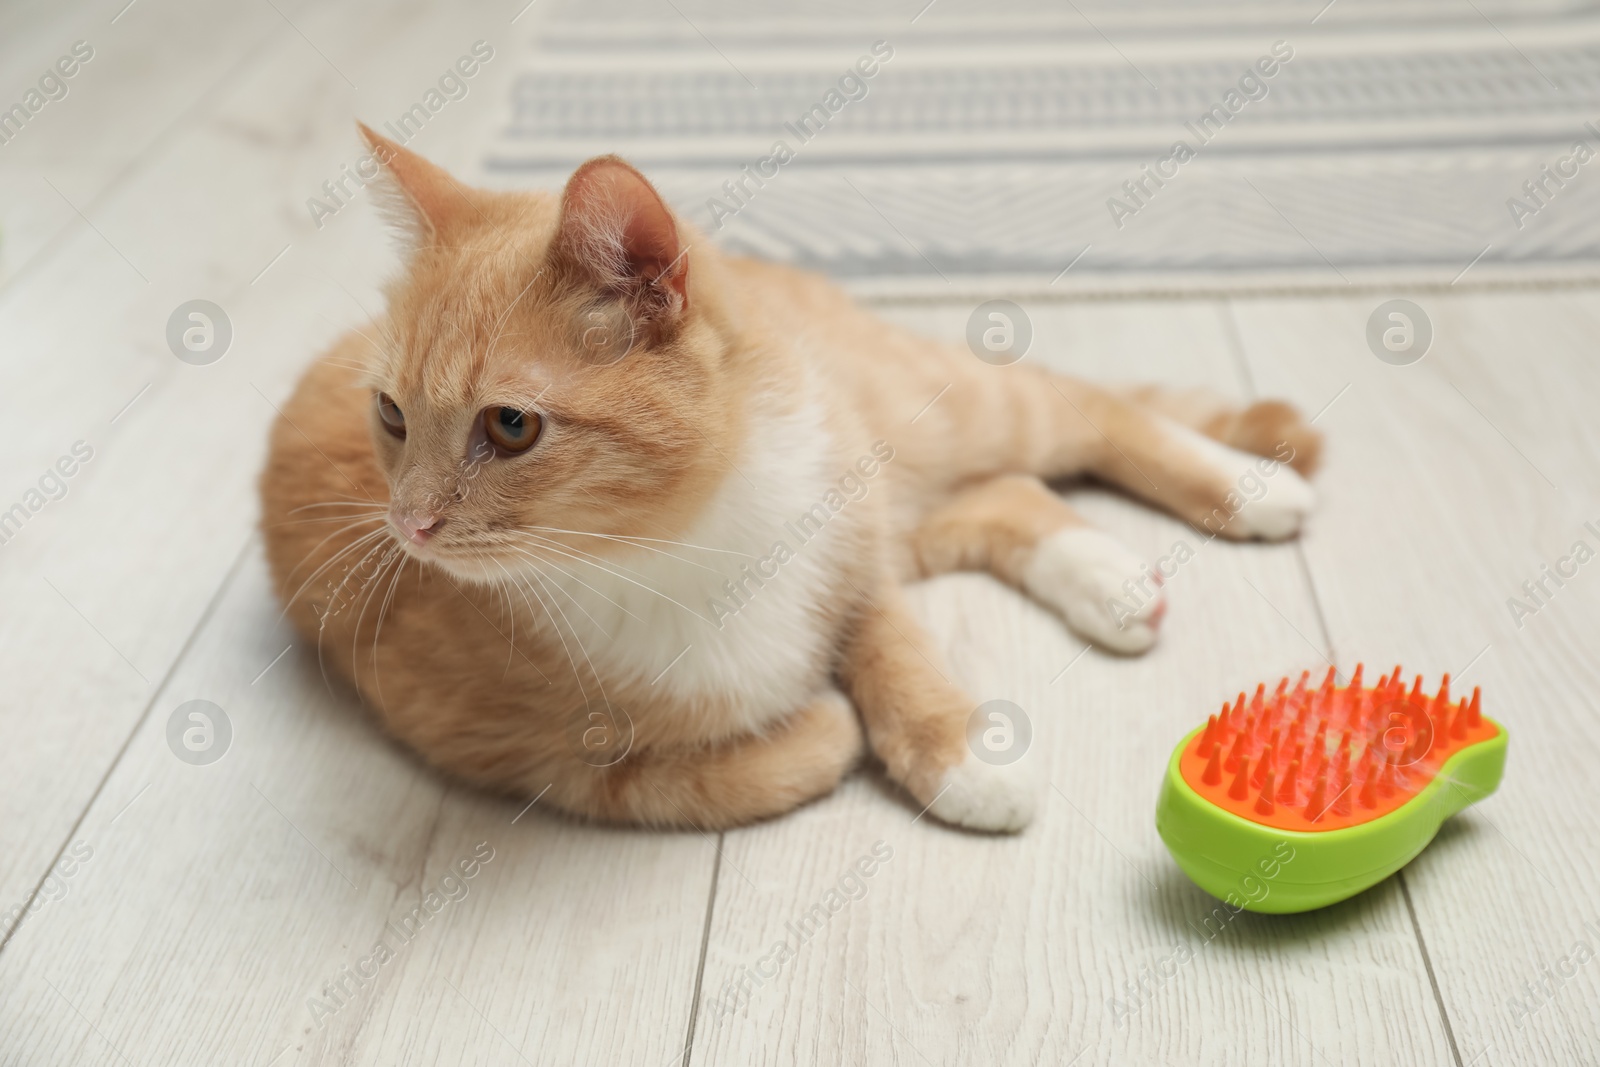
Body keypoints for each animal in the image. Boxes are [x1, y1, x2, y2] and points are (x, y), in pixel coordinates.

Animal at [259, 127, 1312, 831]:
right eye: (391, 415)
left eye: (510, 426)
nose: (408, 525)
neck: (681, 547)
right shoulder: (538, 762)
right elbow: (718, 774)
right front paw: (831, 725)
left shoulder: (847, 529)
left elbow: (887, 640)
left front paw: (954, 747)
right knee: (1005, 493)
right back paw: (1108, 578)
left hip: (924, 413)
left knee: (1082, 407)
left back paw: (1250, 489)